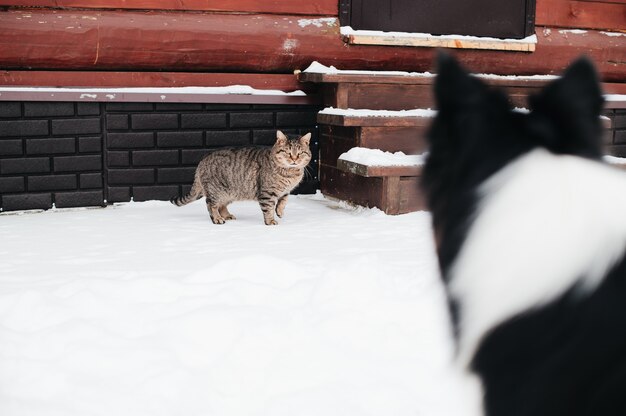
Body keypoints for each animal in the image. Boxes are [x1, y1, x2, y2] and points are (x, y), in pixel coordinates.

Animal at [169, 132, 310, 226]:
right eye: (287, 152)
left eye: (300, 153)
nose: (294, 159)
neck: (290, 173)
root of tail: (202, 159)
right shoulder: (267, 193)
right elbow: (268, 208)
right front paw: (270, 221)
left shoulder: (286, 191)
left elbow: (283, 201)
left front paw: (280, 212)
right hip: (216, 191)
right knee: (211, 204)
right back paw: (217, 218)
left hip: (229, 193)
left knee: (221, 205)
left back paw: (227, 215)